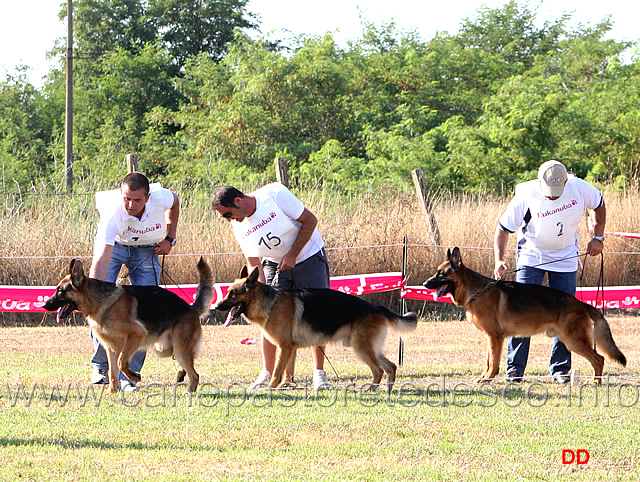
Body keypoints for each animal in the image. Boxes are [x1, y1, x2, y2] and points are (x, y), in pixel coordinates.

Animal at [45, 258, 215, 394]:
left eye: (60, 291)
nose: (44, 304)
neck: (100, 301)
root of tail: (191, 307)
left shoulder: (136, 335)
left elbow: (121, 363)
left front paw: (134, 376)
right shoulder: (111, 348)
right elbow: (113, 373)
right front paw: (111, 393)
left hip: (177, 348)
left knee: (195, 374)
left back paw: (189, 391)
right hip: (165, 349)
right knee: (189, 363)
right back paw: (181, 374)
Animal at [215, 270, 420, 390]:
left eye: (233, 294)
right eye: (227, 292)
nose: (216, 306)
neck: (269, 303)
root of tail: (376, 308)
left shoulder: (284, 347)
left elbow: (277, 371)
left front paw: (271, 388)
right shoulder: (289, 349)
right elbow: (286, 370)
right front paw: (284, 386)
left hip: (361, 348)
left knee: (378, 370)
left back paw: (372, 390)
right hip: (370, 348)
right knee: (391, 366)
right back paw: (387, 390)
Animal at [422, 249, 628, 384]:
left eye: (441, 274)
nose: (424, 284)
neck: (477, 292)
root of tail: (580, 303)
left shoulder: (495, 337)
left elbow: (493, 362)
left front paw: (488, 379)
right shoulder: (490, 337)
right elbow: (488, 360)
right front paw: (483, 376)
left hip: (573, 340)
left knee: (599, 359)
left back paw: (596, 382)